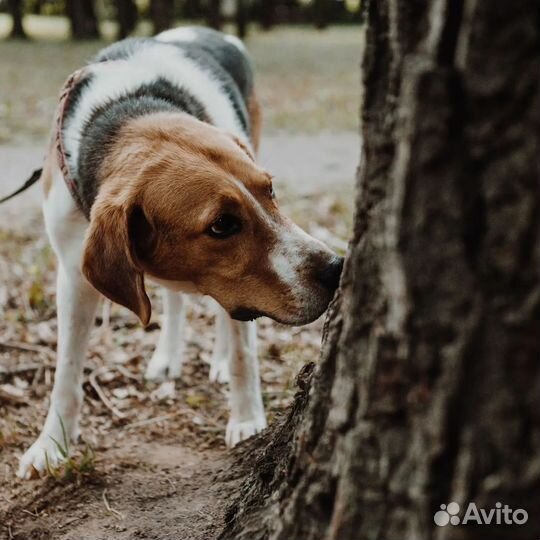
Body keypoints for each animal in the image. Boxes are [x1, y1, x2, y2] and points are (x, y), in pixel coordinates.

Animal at [16, 27, 344, 478]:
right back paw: (168, 355)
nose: (335, 269)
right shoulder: (72, 274)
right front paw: (51, 444)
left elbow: (243, 354)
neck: (127, 112)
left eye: (270, 190)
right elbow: (65, 373)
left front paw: (247, 419)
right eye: (221, 225)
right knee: (173, 300)